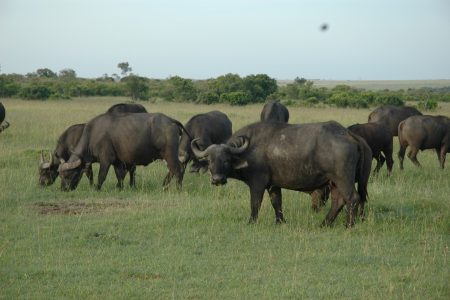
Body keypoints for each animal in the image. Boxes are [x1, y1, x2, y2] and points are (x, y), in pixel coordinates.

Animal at [58, 111, 188, 191]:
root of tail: (170, 120)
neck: (92, 135)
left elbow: (101, 176)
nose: (64, 189)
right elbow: (119, 176)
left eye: (69, 175)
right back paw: (164, 186)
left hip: (169, 154)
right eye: (60, 175)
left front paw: (97, 188)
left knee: (178, 169)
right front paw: (119, 188)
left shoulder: (106, 160)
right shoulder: (118, 162)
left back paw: (178, 188)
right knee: (174, 169)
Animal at [192, 120, 370, 226]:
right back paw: (324, 224)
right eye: (209, 161)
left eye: (226, 160)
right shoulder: (273, 185)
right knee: (338, 201)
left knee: (352, 198)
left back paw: (348, 225)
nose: (217, 179)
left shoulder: (257, 184)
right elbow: (276, 202)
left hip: (343, 179)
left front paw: (251, 222)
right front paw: (280, 221)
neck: (247, 151)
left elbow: (255, 203)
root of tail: (348, 134)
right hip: (333, 182)